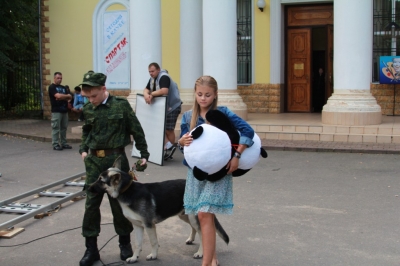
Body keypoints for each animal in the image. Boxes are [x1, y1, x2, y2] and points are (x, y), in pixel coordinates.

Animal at [89, 157, 230, 262]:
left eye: (101, 181)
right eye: (98, 178)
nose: (87, 188)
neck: (127, 190)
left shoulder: (149, 226)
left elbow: (153, 242)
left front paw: (153, 255)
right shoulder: (138, 226)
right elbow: (137, 244)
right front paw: (134, 257)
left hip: (193, 218)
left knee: (203, 234)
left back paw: (200, 253)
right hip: (185, 216)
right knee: (194, 229)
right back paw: (191, 239)